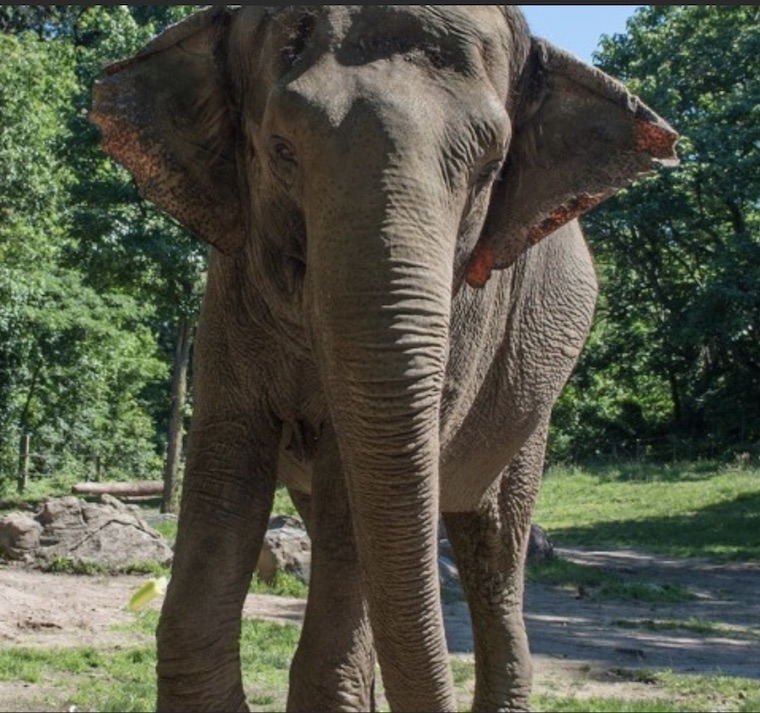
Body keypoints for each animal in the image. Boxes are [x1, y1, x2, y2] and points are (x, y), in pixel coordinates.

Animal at [90, 6, 678, 712]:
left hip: (530, 405)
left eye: (492, 168)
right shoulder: (229, 296)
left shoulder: (466, 315)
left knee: (493, 547)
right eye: (281, 150)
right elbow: (227, 471)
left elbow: (355, 501)